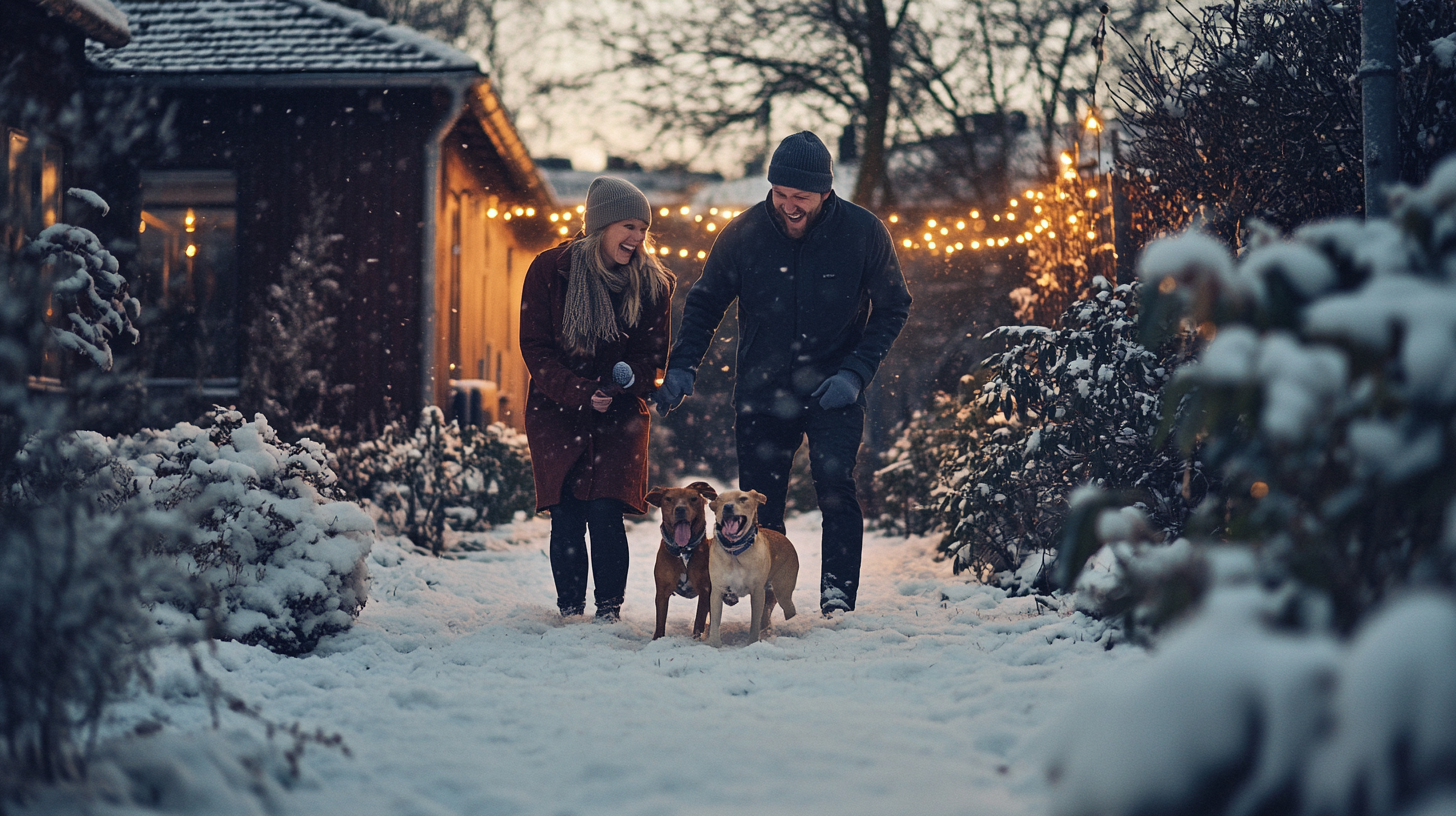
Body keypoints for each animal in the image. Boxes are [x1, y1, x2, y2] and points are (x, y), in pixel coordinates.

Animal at [646, 480, 719, 641]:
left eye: (693, 499)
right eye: (668, 499)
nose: (680, 509)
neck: (683, 551)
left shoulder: (705, 591)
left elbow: (699, 621)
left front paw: (696, 639)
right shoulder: (662, 591)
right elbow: (660, 621)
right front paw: (657, 639)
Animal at [707, 486, 803, 646]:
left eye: (743, 498)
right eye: (720, 500)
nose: (727, 507)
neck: (735, 552)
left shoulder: (757, 591)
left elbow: (754, 622)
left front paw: (752, 643)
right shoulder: (717, 591)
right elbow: (715, 621)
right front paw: (714, 644)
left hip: (783, 591)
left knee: (788, 608)